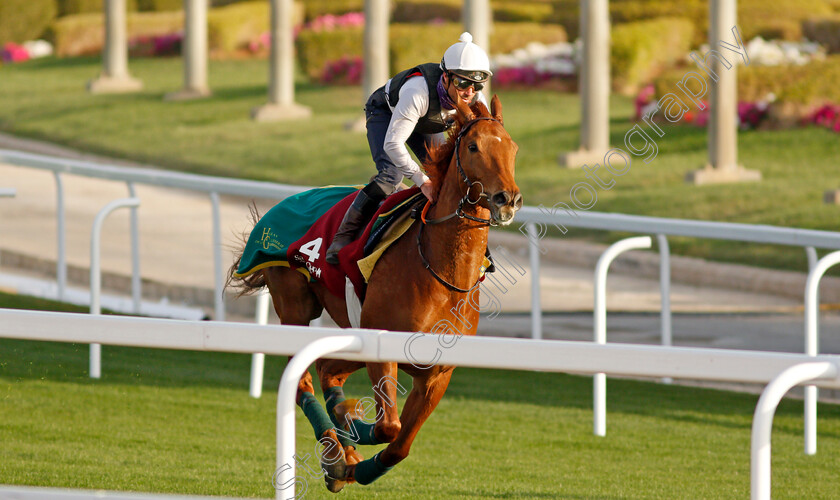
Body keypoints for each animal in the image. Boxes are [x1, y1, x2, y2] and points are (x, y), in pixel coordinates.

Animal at [226, 94, 520, 492]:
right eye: (473, 146)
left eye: (513, 149)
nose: (508, 198)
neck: (442, 274)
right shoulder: (382, 350)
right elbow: (387, 426)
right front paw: (351, 424)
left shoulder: (436, 373)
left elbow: (400, 445)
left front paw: (353, 455)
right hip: (295, 306)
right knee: (302, 377)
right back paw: (336, 450)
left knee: (325, 369)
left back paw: (340, 454)